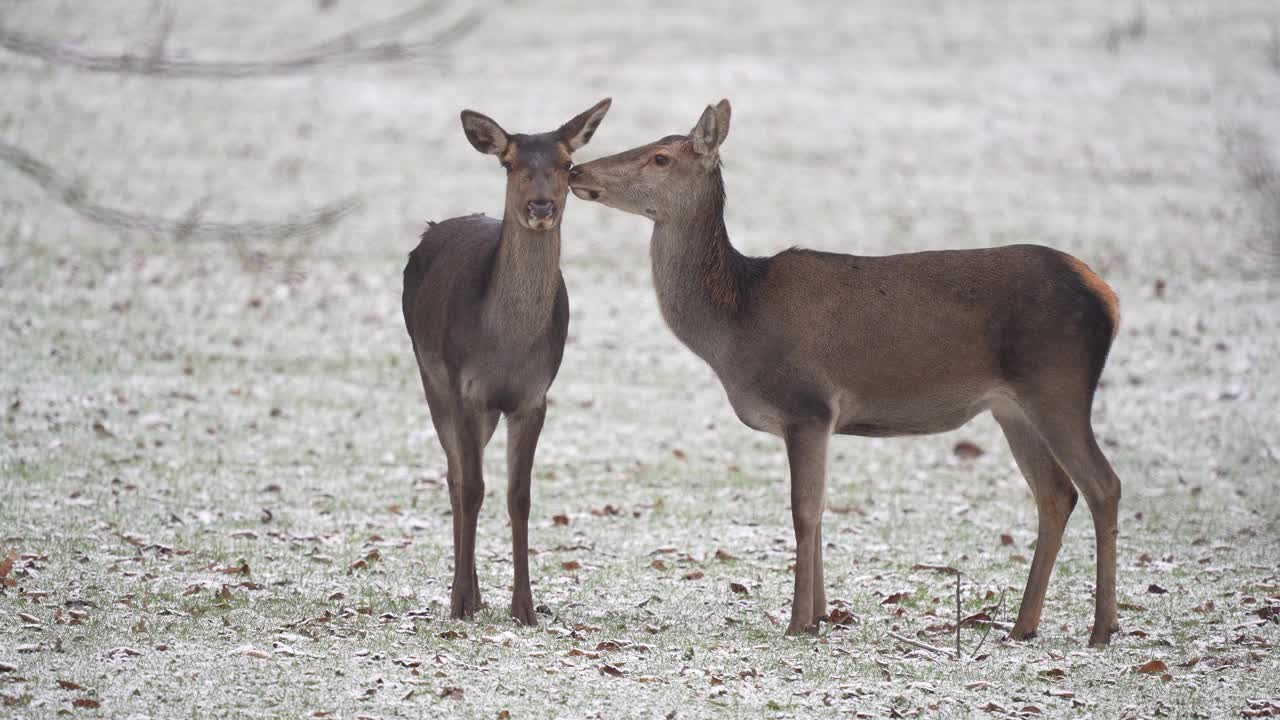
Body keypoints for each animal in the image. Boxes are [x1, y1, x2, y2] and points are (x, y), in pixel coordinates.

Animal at [407, 98, 611, 625]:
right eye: (509, 163)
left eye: (567, 164)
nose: (541, 206)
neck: (507, 346)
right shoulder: (465, 388)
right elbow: (473, 487)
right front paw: (460, 601)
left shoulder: (532, 397)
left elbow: (520, 495)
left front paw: (525, 607)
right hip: (431, 377)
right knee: (455, 477)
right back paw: (467, 593)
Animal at [568, 99, 1121, 645]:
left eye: (660, 157)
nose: (576, 170)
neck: (736, 325)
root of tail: (1108, 297)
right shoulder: (820, 419)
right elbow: (820, 511)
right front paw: (821, 616)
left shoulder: (806, 404)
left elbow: (803, 511)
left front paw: (797, 621)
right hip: (1012, 408)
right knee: (1056, 495)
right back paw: (1024, 625)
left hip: (1058, 384)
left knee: (1103, 485)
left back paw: (1102, 627)